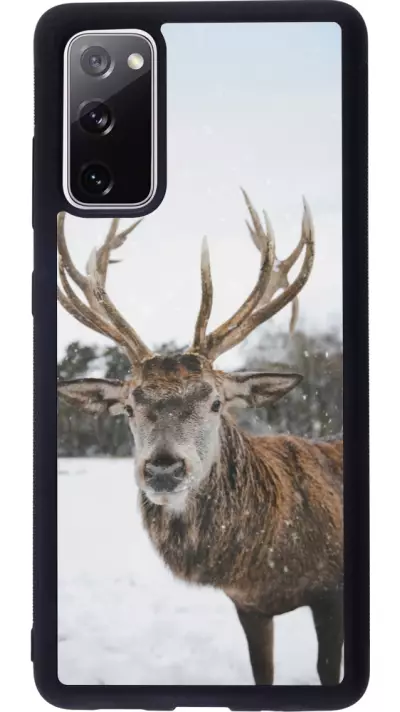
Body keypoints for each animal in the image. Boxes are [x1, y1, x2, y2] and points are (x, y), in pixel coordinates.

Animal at [57, 191, 343, 686]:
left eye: (215, 402)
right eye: (128, 407)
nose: (163, 468)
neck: (268, 562)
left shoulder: (331, 591)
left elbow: (328, 670)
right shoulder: (249, 606)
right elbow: (262, 673)